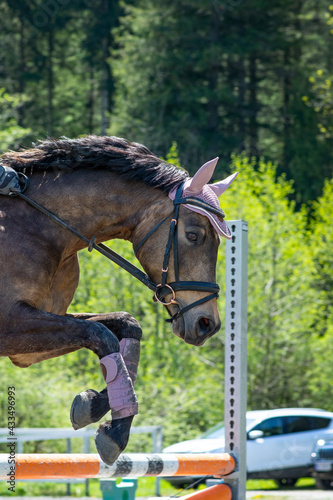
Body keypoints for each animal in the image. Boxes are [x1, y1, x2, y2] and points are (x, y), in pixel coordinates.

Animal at [0, 137, 239, 464]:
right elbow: (100, 333)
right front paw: (116, 432)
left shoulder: (27, 349)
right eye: (193, 235)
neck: (40, 226)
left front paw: (93, 405)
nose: (207, 324)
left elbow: (126, 326)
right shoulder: (9, 326)